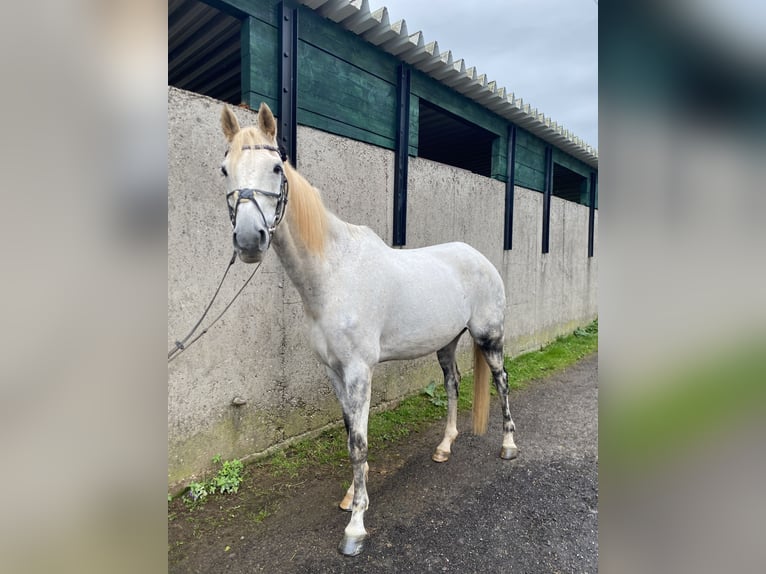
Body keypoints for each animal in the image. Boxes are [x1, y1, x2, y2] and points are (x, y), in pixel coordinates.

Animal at [219, 103, 520, 560]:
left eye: (275, 167)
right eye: (225, 170)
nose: (250, 240)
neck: (334, 275)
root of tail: (480, 258)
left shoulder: (360, 371)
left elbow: (359, 442)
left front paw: (355, 526)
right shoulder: (334, 371)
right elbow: (350, 433)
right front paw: (350, 497)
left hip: (489, 336)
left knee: (502, 381)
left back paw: (508, 446)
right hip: (446, 342)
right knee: (452, 383)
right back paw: (444, 447)